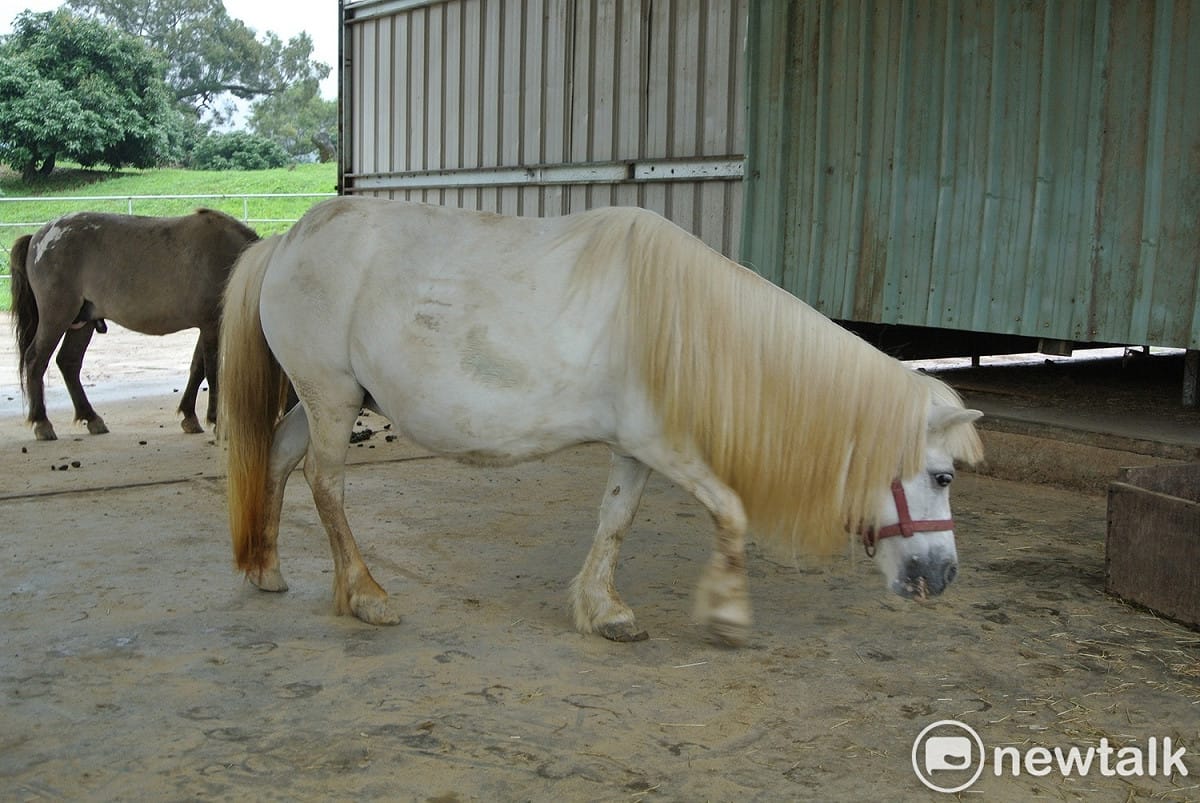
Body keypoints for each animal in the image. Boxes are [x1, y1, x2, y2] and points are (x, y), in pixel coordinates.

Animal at [10, 209, 259, 440]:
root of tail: (38, 237)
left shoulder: (205, 327)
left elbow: (197, 369)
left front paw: (190, 416)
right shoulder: (211, 324)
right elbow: (212, 371)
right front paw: (216, 420)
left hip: (83, 322)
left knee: (68, 362)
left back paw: (91, 418)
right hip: (57, 316)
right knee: (35, 360)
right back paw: (42, 422)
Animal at [219, 197, 983, 645]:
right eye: (942, 475)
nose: (943, 578)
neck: (685, 322)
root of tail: (285, 242)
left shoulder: (635, 449)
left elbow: (615, 519)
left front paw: (603, 609)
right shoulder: (667, 446)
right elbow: (730, 510)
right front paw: (728, 613)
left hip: (323, 398)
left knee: (279, 458)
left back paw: (267, 568)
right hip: (332, 397)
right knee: (326, 484)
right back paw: (366, 595)